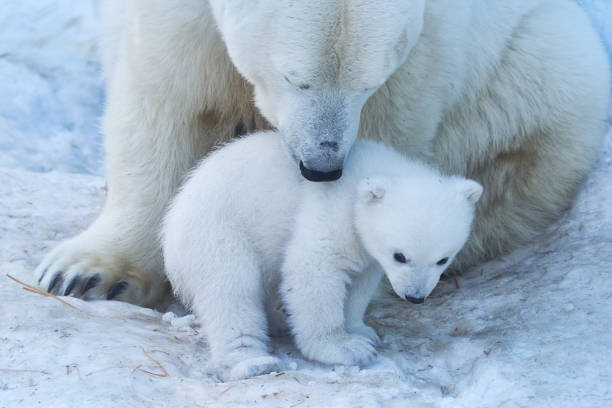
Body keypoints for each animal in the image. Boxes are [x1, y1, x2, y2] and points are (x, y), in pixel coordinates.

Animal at [35, 0, 608, 306]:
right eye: (296, 77)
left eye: (368, 82)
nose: (321, 166)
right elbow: (166, 96)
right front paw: (87, 273)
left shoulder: (426, 49)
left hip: (538, 71)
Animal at [163, 132, 482, 380]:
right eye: (400, 256)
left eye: (443, 259)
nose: (415, 297)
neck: (371, 172)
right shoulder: (332, 209)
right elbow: (313, 271)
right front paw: (346, 348)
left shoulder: (366, 248)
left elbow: (360, 283)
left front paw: (362, 332)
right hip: (218, 233)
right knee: (231, 292)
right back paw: (252, 362)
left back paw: (277, 322)